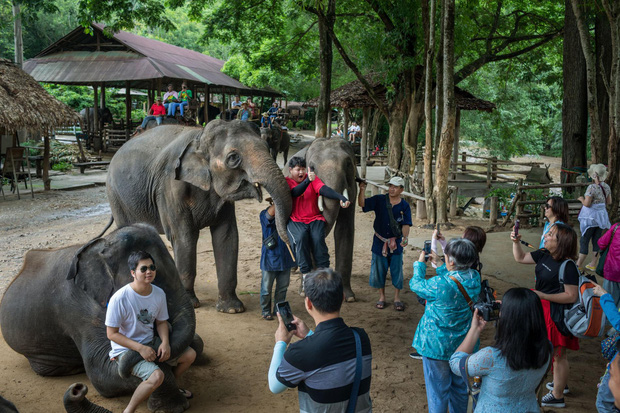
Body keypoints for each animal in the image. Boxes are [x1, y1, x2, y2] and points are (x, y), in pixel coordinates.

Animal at [0, 225, 201, 412]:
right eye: (154, 279)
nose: (161, 332)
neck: (101, 245)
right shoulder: (77, 310)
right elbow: (101, 372)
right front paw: (172, 407)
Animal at [105, 119, 292, 308]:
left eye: (267, 147)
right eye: (233, 158)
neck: (199, 138)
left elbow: (227, 236)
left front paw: (232, 308)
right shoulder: (169, 187)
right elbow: (184, 237)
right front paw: (191, 303)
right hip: (116, 196)